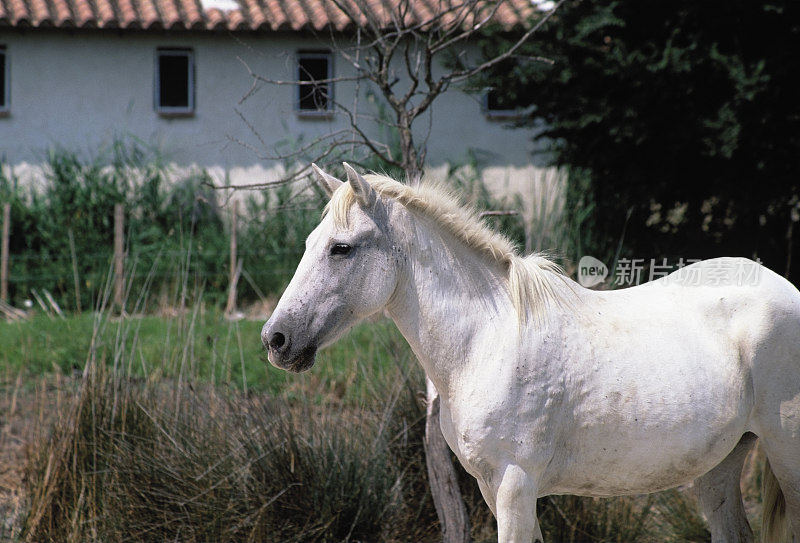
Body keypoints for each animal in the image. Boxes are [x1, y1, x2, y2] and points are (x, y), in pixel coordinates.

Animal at [262, 165, 800, 543]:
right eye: (310, 242)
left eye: (341, 248)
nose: (275, 339)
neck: (488, 341)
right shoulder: (494, 490)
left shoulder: (515, 487)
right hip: (720, 466)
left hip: (786, 456)